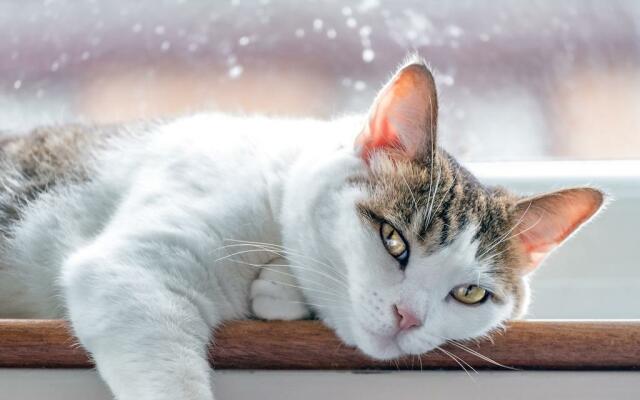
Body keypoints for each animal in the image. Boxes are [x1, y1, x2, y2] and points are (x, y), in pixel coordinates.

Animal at [0, 54, 604, 398]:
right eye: (393, 239)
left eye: (471, 293)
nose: (408, 318)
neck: (273, 204)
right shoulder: (131, 271)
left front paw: (279, 287)